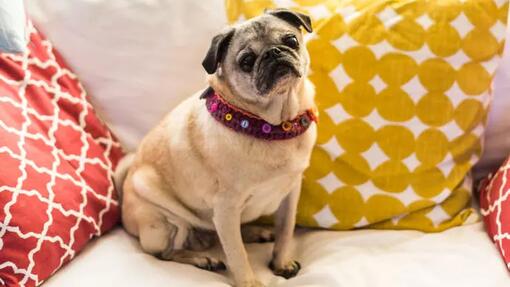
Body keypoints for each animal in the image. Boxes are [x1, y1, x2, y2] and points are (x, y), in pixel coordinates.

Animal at [113, 9, 316, 287]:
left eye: (291, 40)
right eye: (247, 61)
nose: (274, 52)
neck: (270, 127)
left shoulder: (290, 194)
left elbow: (286, 230)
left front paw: (281, 263)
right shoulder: (225, 208)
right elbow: (238, 254)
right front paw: (249, 282)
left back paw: (252, 232)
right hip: (166, 223)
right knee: (166, 253)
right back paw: (203, 259)